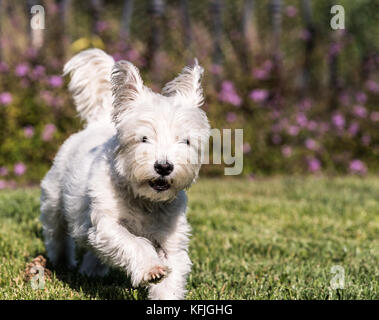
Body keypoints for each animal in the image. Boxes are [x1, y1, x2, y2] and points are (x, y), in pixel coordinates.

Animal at [40, 48, 211, 300]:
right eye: (144, 138)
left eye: (186, 141)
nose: (164, 167)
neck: (145, 200)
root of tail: (97, 124)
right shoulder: (106, 226)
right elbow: (134, 242)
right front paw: (151, 268)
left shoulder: (172, 239)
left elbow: (171, 276)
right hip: (54, 199)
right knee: (57, 232)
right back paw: (62, 262)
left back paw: (91, 271)